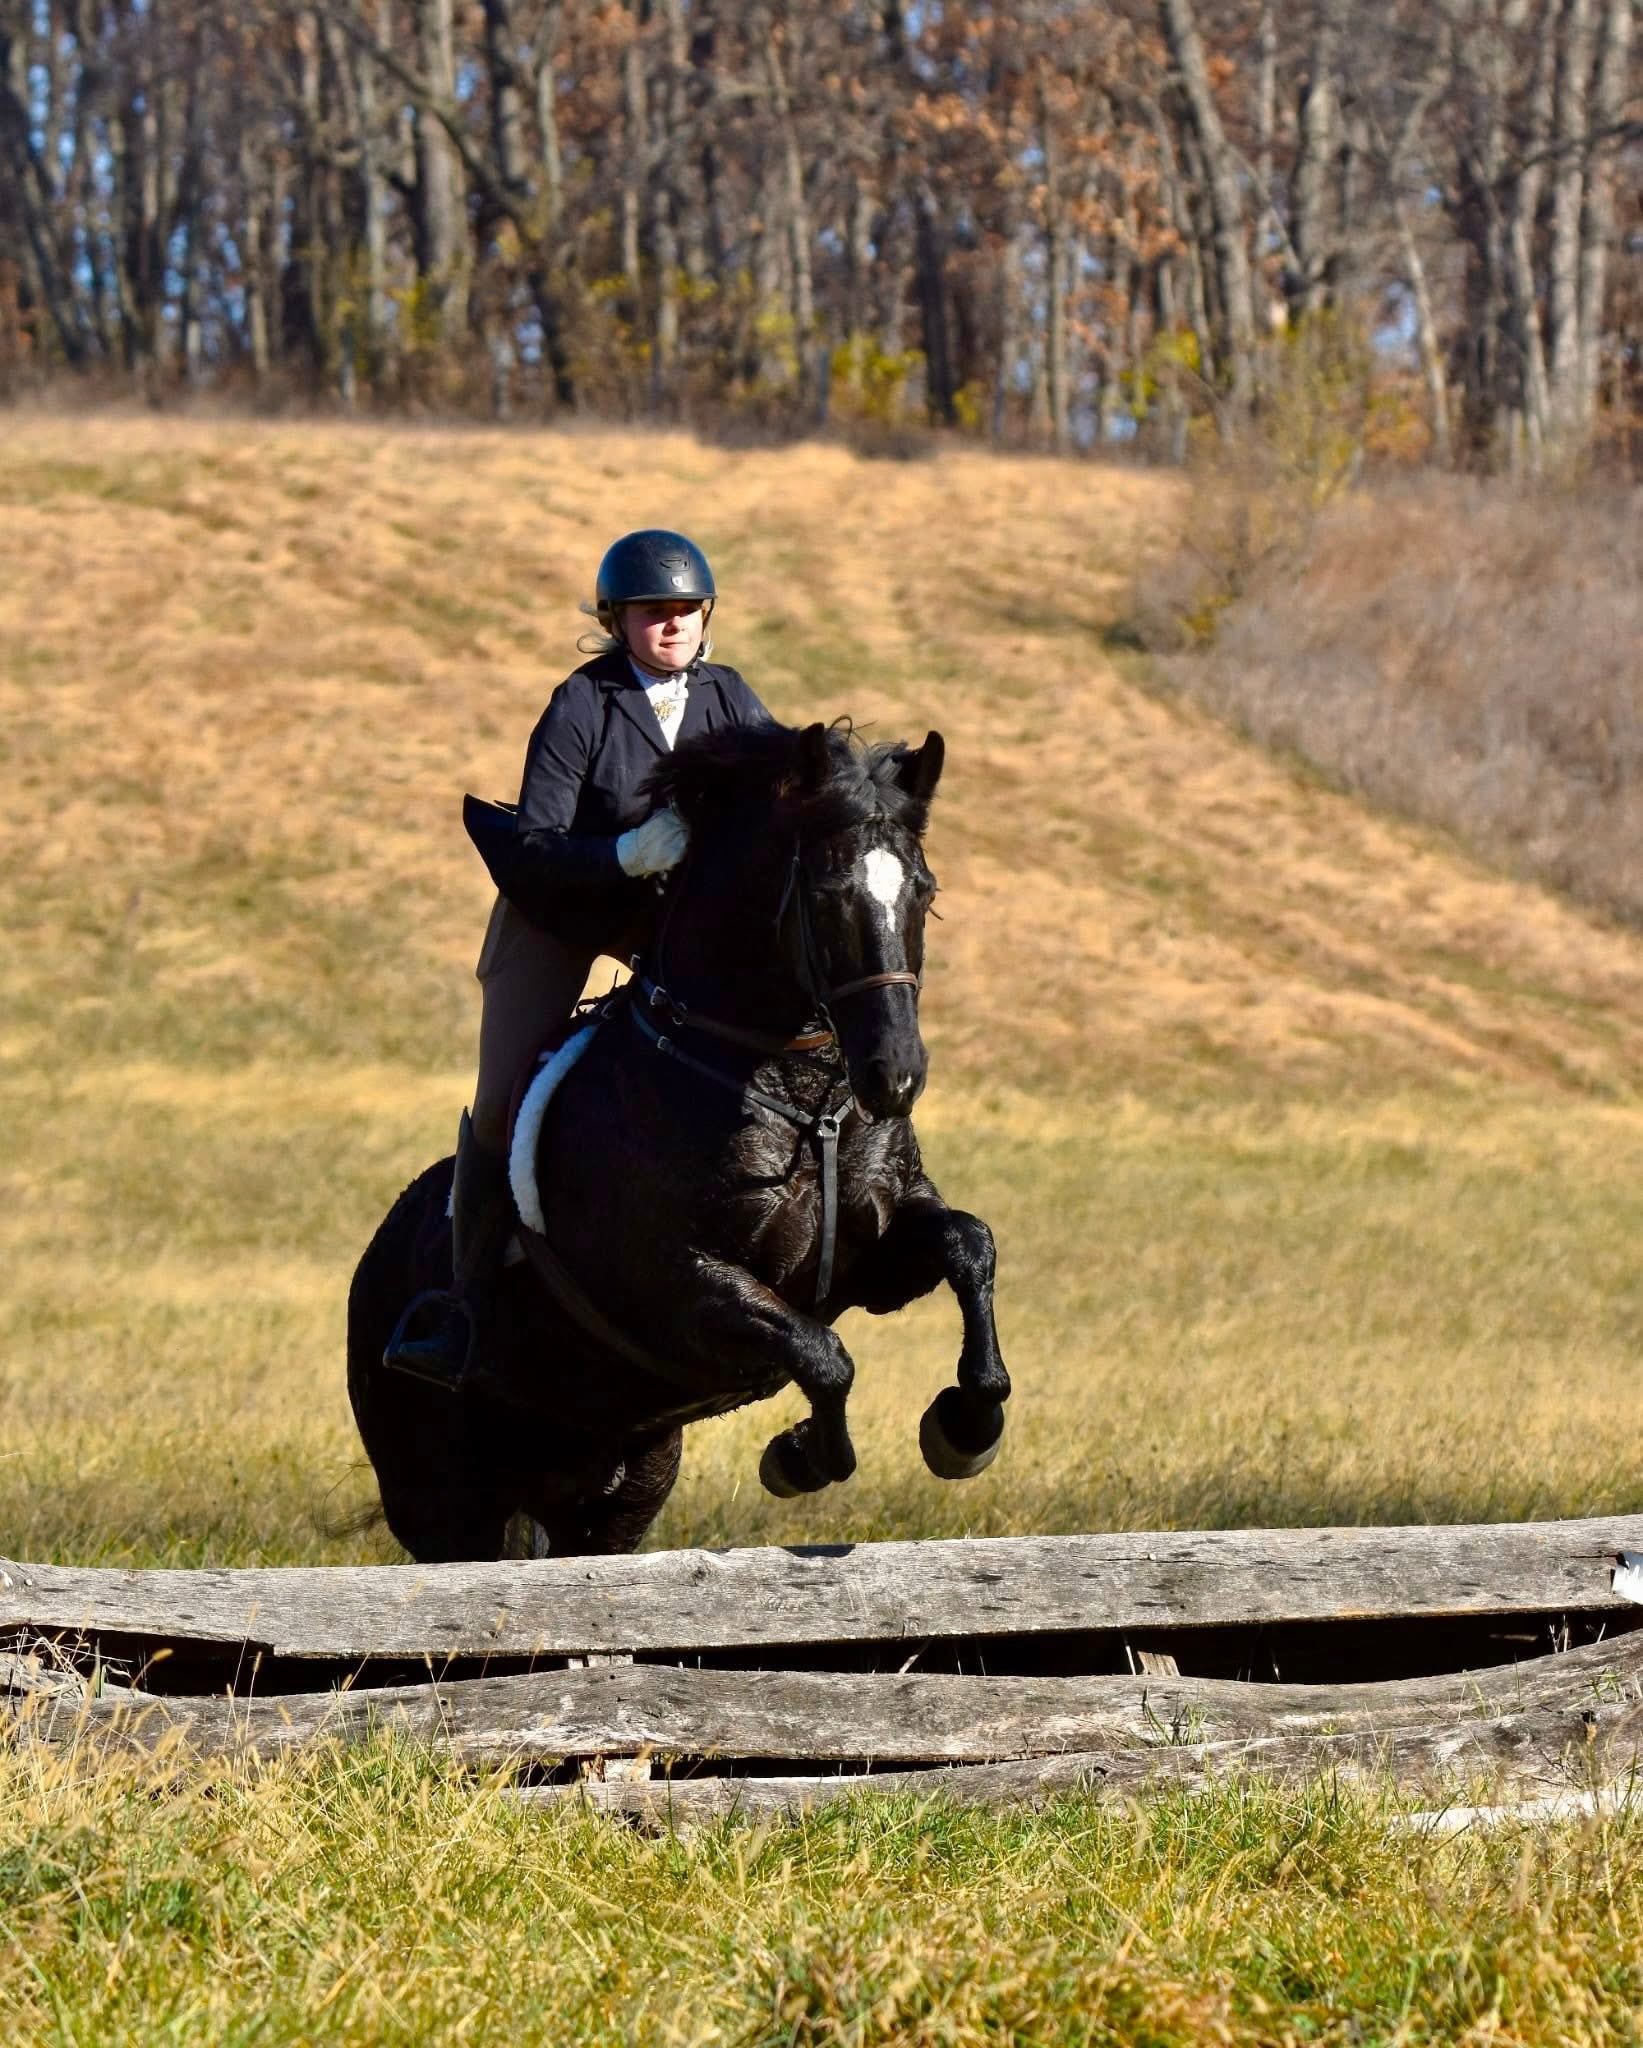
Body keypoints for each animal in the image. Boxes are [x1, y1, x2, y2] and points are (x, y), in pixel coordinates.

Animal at [346, 719, 1011, 1562]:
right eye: (827, 896)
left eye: (923, 891)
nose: (893, 1077)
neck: (790, 1090)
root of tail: (373, 1257)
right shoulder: (680, 1287)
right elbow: (825, 1360)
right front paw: (799, 1457)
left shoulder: (874, 1264)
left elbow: (968, 1244)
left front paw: (967, 1425)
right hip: (442, 1498)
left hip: (622, 1483)